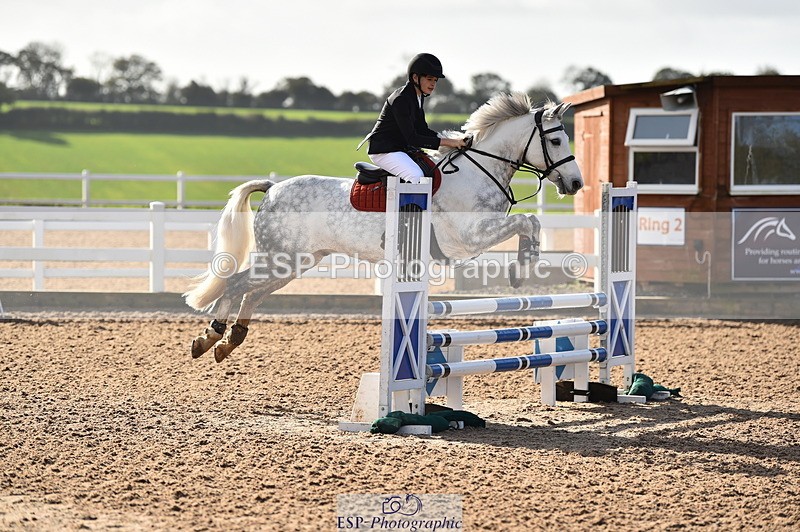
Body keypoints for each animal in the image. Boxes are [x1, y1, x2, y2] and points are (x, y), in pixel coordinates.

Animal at [184, 93, 583, 362]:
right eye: (556, 139)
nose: (576, 183)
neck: (478, 170)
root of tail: (272, 188)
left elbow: (531, 221)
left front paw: (524, 265)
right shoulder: (470, 238)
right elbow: (527, 221)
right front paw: (522, 268)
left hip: (294, 262)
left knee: (251, 293)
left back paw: (227, 342)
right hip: (281, 258)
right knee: (236, 284)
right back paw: (209, 339)